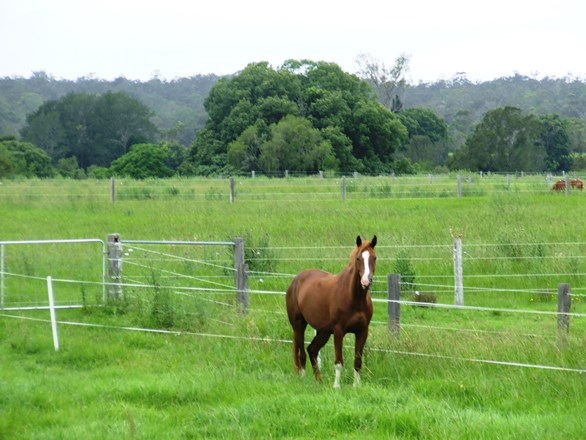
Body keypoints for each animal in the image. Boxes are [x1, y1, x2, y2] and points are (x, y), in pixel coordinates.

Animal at [286, 235, 376, 386]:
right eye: (358, 258)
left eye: (374, 258)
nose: (366, 281)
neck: (354, 298)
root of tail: (296, 280)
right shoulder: (339, 331)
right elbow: (339, 362)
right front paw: (336, 386)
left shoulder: (362, 331)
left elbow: (357, 361)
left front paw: (356, 386)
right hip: (299, 326)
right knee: (301, 353)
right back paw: (303, 379)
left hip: (324, 332)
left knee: (312, 350)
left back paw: (319, 381)